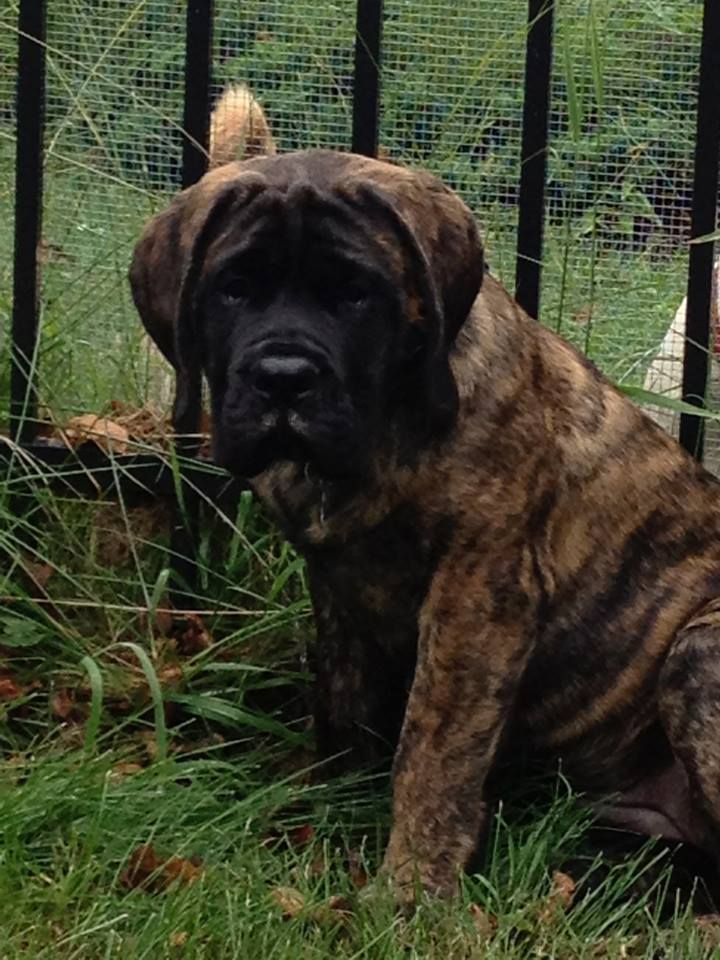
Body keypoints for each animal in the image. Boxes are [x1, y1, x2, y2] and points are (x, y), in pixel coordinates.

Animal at [130, 101, 720, 905]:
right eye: (233, 288)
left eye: (356, 294)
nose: (284, 377)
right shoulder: (339, 587)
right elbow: (342, 704)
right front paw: (328, 810)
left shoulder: (478, 595)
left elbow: (434, 747)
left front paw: (411, 889)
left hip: (697, 648)